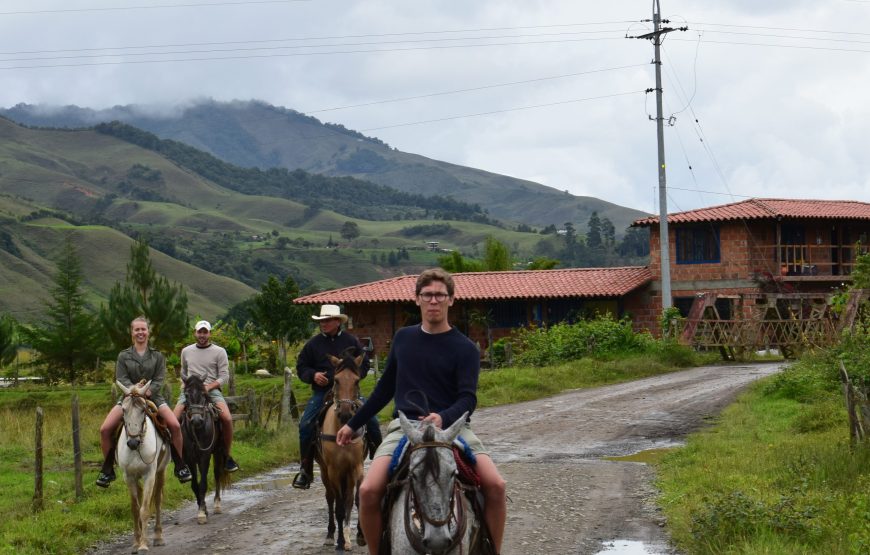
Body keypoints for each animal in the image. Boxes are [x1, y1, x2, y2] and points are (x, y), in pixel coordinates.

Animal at [116, 380, 169, 552]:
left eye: (143, 410)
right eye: (123, 410)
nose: (133, 443)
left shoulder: (149, 476)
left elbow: (144, 509)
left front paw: (144, 545)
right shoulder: (129, 477)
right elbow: (135, 509)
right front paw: (136, 542)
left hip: (161, 472)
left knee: (158, 500)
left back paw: (158, 536)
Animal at [316, 352, 366, 552]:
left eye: (357, 380)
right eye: (336, 380)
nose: (345, 414)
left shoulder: (355, 468)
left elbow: (352, 501)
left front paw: (354, 537)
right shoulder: (334, 471)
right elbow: (338, 507)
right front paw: (340, 541)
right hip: (324, 472)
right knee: (331, 499)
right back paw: (331, 536)